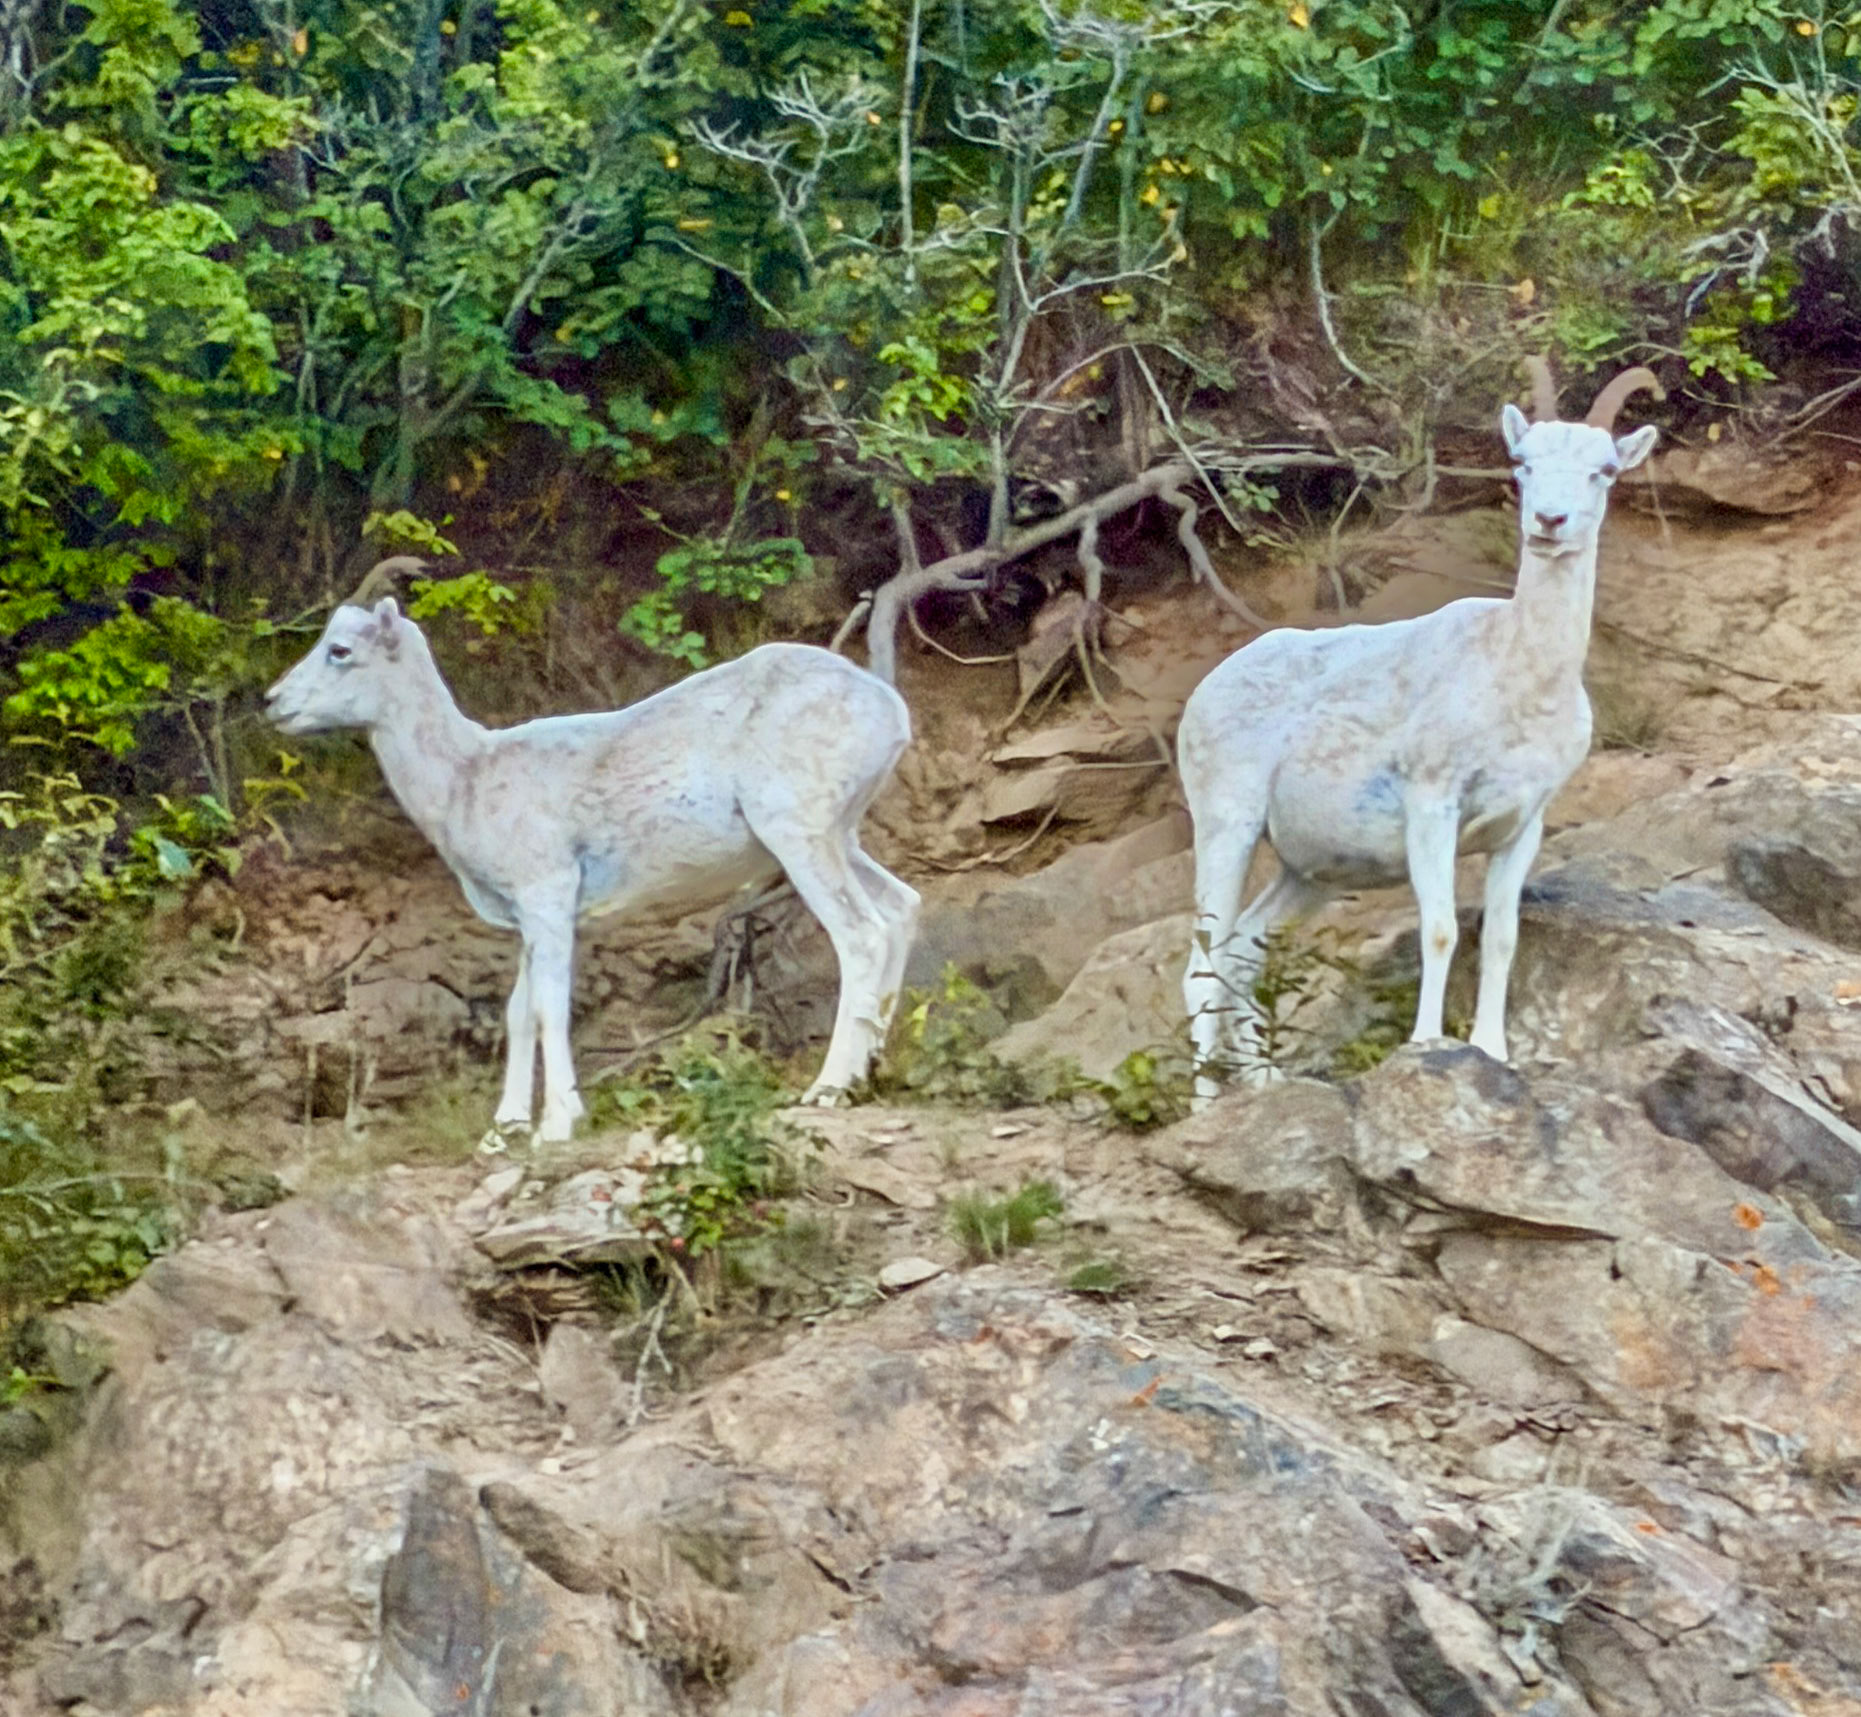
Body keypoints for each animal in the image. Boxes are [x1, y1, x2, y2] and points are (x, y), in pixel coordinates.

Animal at [266, 584, 920, 1142]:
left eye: (340, 651)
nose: (272, 703)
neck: (466, 780)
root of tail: (890, 710)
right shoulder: (530, 921)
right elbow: (519, 1013)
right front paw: (503, 1132)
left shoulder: (548, 897)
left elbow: (550, 1007)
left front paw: (556, 1126)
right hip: (840, 837)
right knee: (900, 908)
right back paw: (870, 1071)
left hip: (799, 837)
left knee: (861, 935)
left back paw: (828, 1088)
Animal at [1177, 362, 1661, 1106]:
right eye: (1522, 463)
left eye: (1602, 470)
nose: (1548, 523)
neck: (1516, 677)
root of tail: (1203, 693)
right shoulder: (1432, 806)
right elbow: (1439, 930)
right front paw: (1428, 1043)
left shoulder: (1521, 827)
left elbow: (1501, 938)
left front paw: (1493, 1050)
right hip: (1226, 827)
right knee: (1202, 963)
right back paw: (1206, 1105)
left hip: (1307, 872)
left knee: (1242, 950)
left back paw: (1263, 1082)